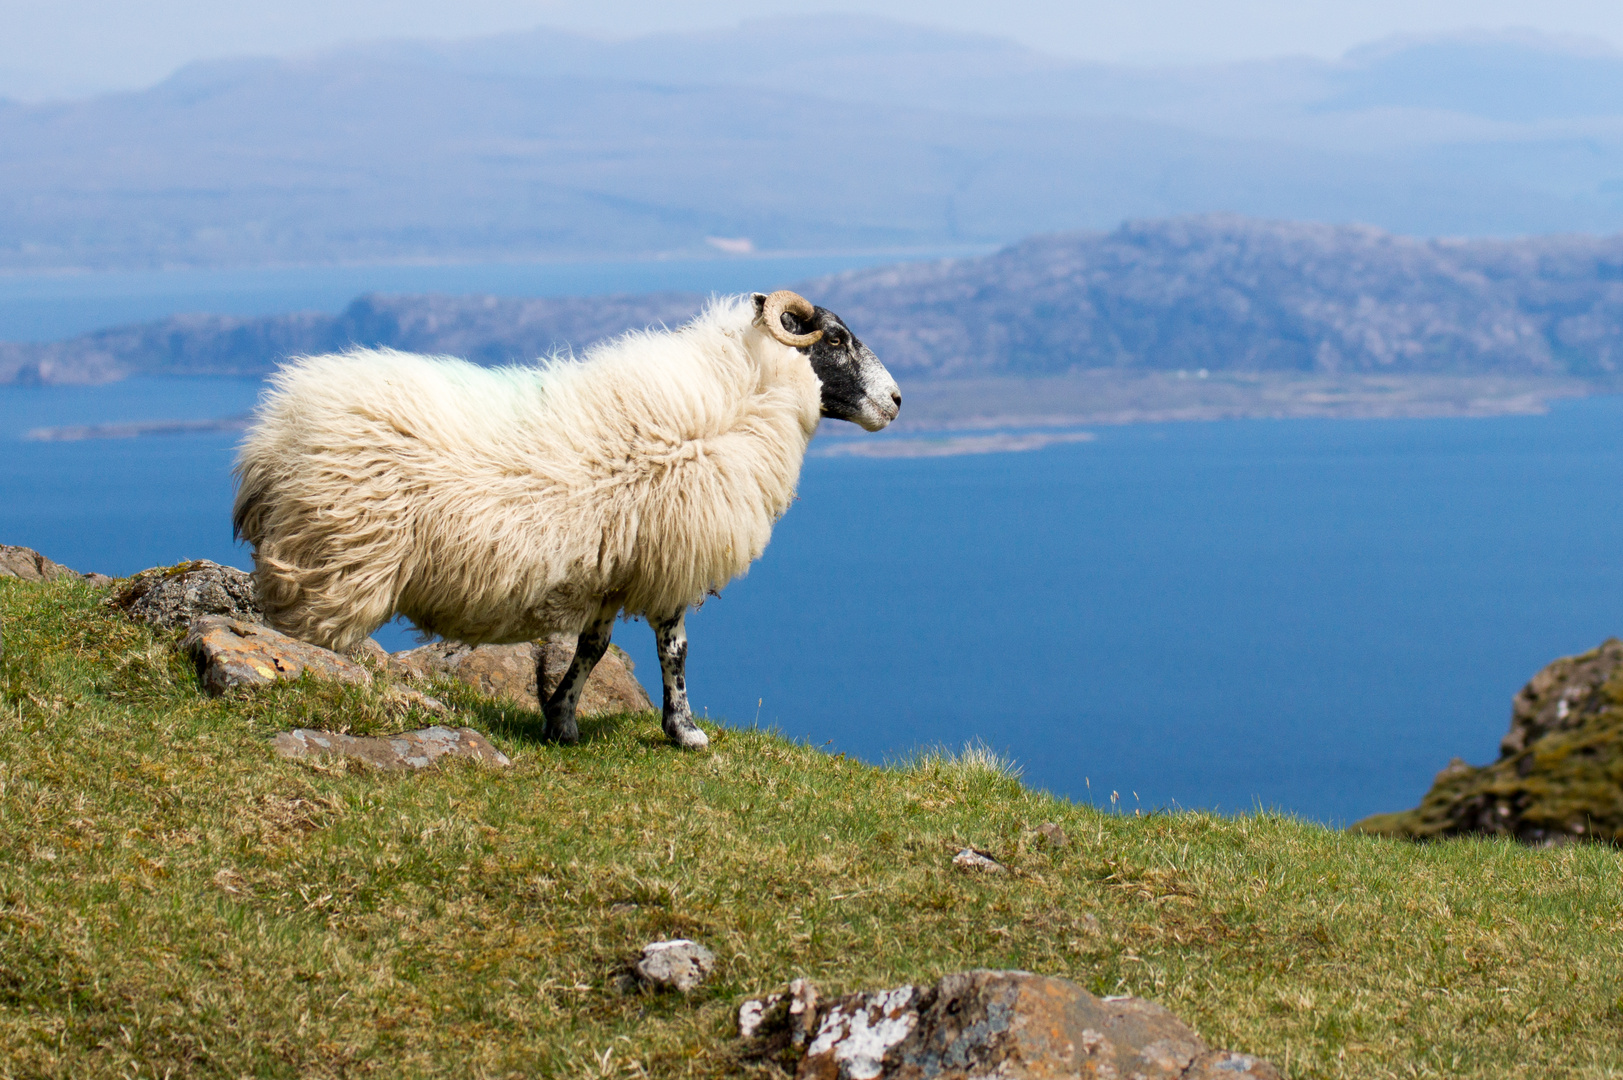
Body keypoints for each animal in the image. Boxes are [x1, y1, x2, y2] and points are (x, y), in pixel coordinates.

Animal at [232, 290, 902, 747]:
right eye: (835, 339)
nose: (897, 401)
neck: (739, 395)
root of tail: (273, 436)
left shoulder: (616, 563)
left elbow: (593, 646)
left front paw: (561, 717)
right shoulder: (671, 555)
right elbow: (675, 651)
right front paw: (684, 731)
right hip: (338, 555)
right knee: (302, 633)